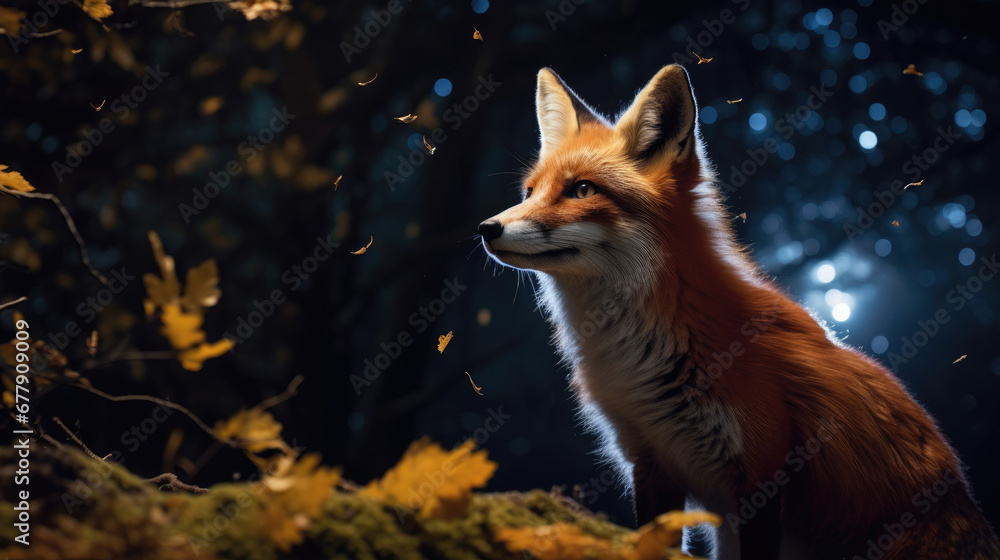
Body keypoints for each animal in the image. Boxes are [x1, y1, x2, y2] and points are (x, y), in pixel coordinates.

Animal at [478, 64, 1000, 560]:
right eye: (529, 192)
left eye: (583, 190)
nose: (486, 228)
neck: (645, 359)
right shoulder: (650, 462)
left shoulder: (762, 472)